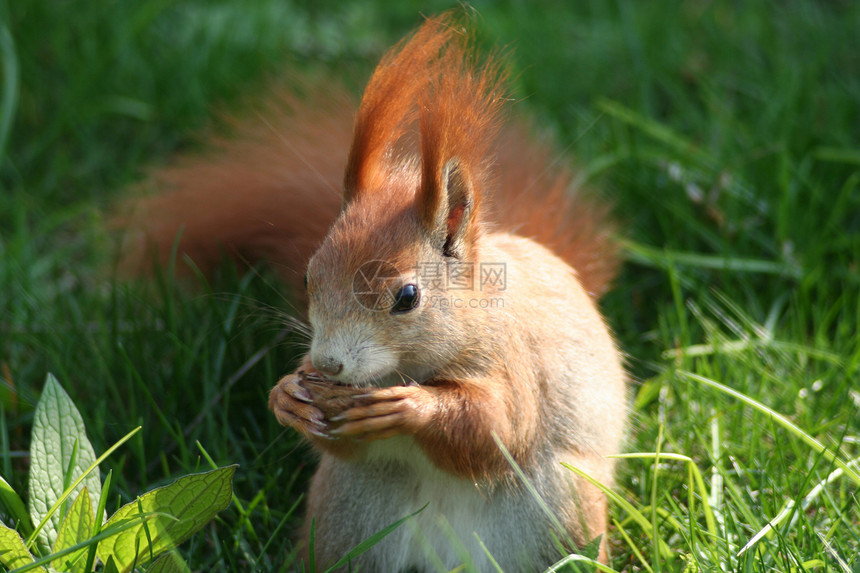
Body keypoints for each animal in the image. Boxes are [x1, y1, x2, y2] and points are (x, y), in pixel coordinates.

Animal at [119, 11, 624, 568]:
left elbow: (498, 428)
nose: (328, 365)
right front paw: (287, 395)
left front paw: (411, 407)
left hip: (561, 511)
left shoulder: (514, 363)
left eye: (407, 298)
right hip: (344, 518)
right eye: (308, 277)